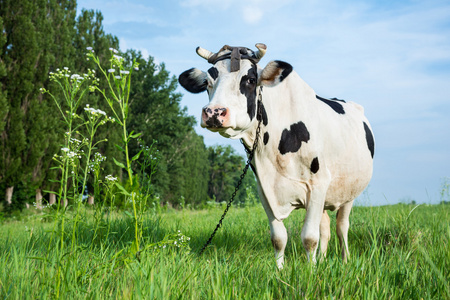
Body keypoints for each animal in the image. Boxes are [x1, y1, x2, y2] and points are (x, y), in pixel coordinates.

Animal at [178, 43, 374, 268]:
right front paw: (281, 270)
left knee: (342, 227)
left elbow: (309, 237)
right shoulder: (265, 188)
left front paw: (310, 270)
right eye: (207, 83)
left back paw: (345, 260)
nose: (213, 112)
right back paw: (323, 259)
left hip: (349, 192)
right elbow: (279, 237)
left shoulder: (318, 183)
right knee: (325, 227)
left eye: (250, 79)